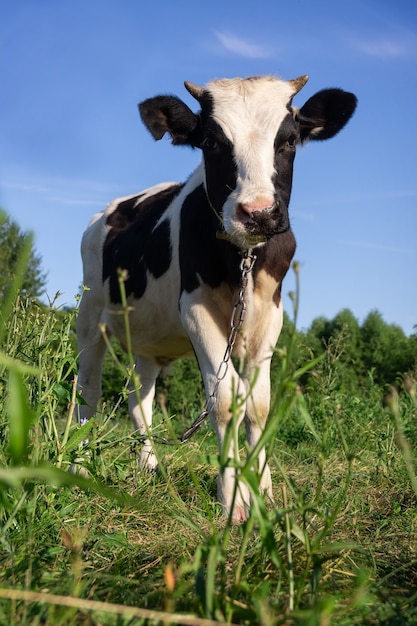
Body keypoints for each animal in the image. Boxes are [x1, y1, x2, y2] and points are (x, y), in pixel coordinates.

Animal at [76, 73, 356, 520]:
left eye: (290, 139)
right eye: (210, 141)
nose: (258, 213)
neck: (242, 260)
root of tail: (109, 211)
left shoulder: (270, 314)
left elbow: (258, 405)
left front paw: (263, 493)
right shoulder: (195, 308)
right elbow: (225, 401)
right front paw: (234, 501)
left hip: (148, 340)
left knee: (140, 399)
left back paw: (148, 467)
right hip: (90, 314)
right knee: (88, 390)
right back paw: (79, 466)